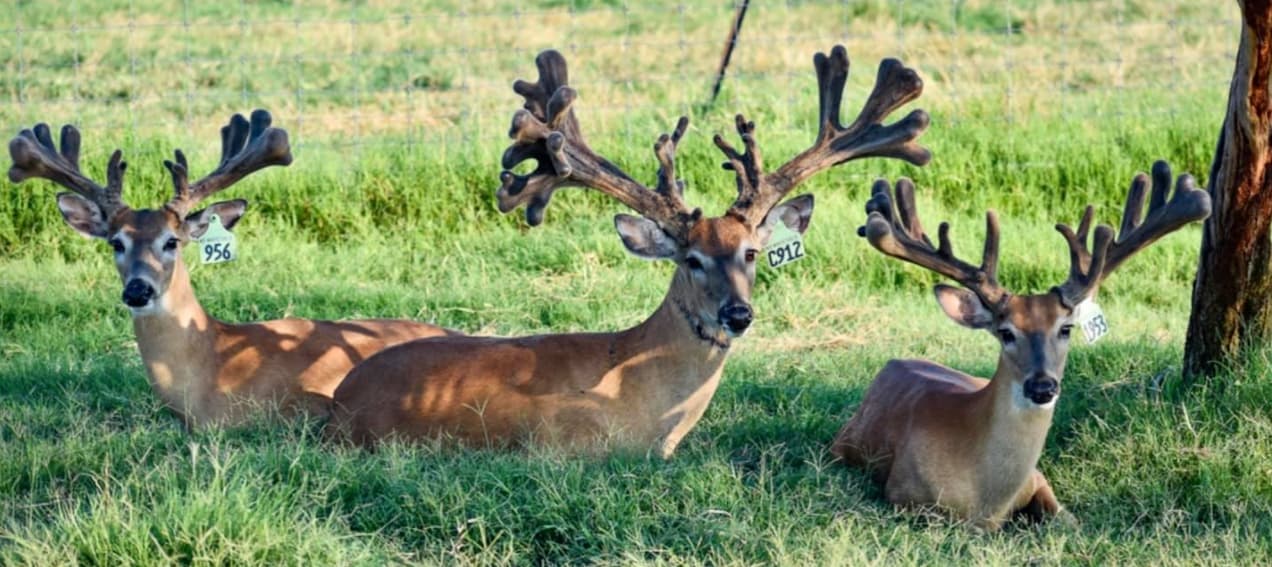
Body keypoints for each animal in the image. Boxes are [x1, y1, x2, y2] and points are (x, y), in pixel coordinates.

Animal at [829, 161, 1212, 529]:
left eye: (1065, 328)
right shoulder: (902, 495)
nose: (1042, 386)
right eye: (1006, 332)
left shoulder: (1039, 480)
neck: (988, 500)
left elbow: (1069, 521)